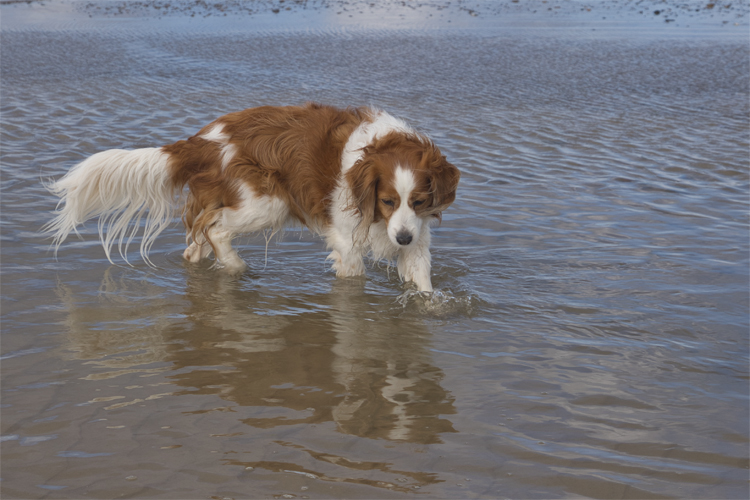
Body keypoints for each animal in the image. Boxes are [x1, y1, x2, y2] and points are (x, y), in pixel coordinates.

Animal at [45, 103, 464, 292]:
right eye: (387, 201)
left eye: (420, 201)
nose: (402, 237)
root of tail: (200, 141)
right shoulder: (347, 238)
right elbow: (354, 273)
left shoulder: (416, 236)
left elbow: (421, 277)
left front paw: (430, 305)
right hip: (267, 202)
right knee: (214, 230)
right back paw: (235, 266)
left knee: (196, 242)